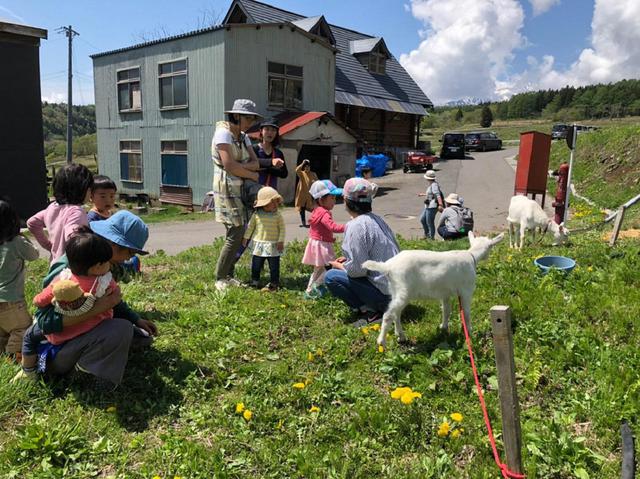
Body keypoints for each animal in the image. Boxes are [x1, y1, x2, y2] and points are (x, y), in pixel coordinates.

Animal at [362, 232, 502, 348]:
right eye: (491, 247)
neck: (471, 255)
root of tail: (388, 266)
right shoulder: (466, 291)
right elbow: (466, 313)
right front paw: (469, 331)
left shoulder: (445, 294)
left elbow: (446, 310)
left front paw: (444, 327)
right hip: (403, 290)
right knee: (388, 315)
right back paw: (382, 341)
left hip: (395, 290)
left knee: (396, 313)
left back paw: (400, 336)